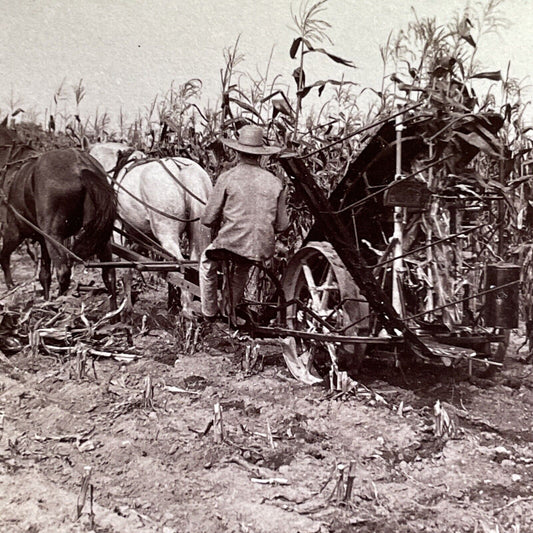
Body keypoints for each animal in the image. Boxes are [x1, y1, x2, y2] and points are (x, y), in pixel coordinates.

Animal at [0, 118, 117, 306]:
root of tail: (81, 167)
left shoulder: (14, 230)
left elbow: (4, 256)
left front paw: (11, 286)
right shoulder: (42, 239)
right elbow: (44, 274)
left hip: (53, 235)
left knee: (63, 272)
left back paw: (58, 304)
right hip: (101, 235)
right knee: (109, 274)